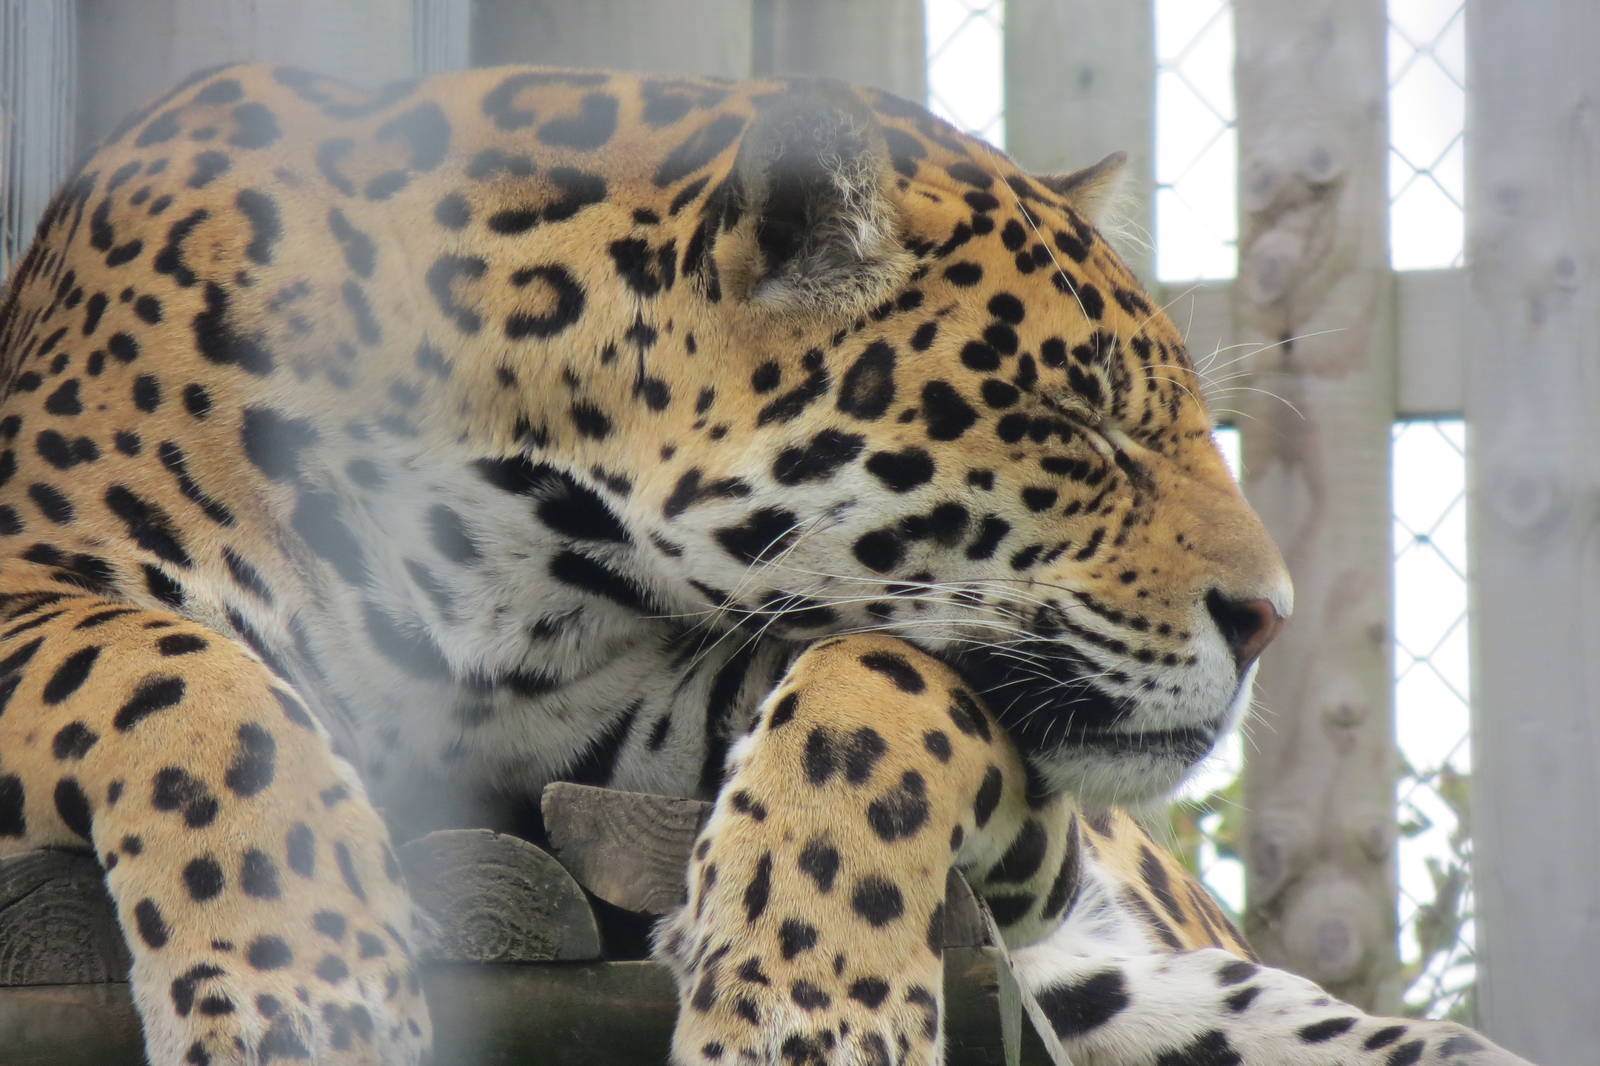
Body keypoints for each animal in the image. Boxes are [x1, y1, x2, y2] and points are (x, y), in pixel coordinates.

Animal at [0, 62, 1533, 1066]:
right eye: (1076, 421)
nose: (1267, 617)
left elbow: (886, 684)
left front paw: (811, 1005)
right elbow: (180, 677)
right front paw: (308, 991)